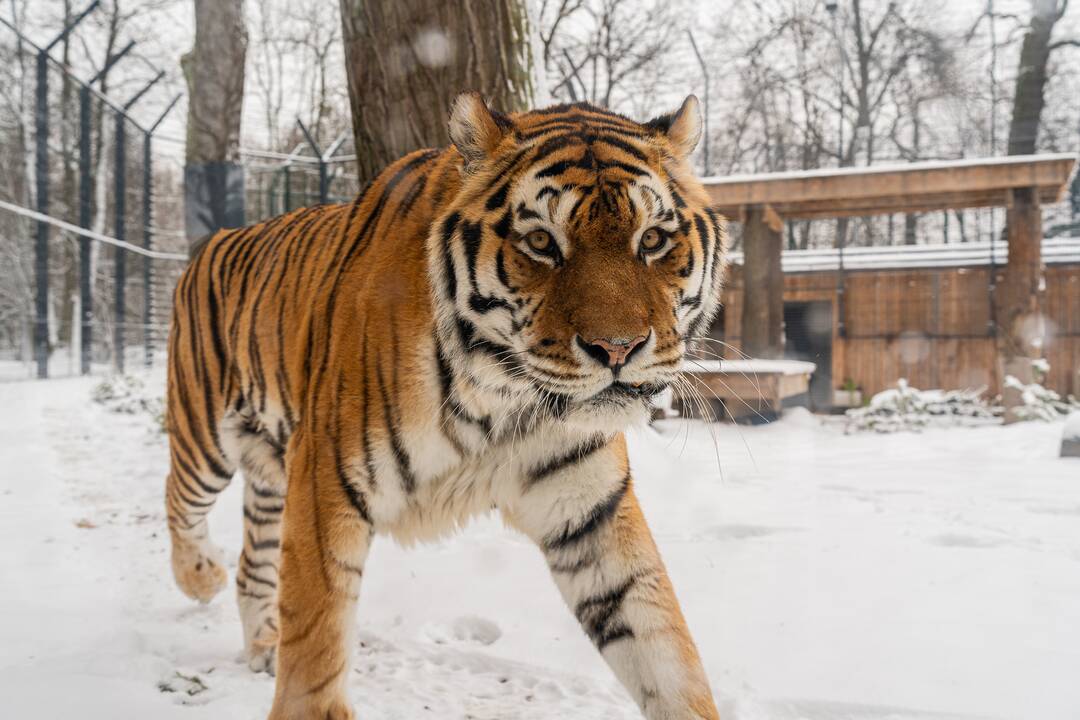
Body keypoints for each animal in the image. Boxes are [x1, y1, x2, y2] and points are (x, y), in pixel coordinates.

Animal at [166, 94, 725, 720]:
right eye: (541, 243)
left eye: (652, 240)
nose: (619, 348)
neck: (502, 396)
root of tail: (215, 239)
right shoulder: (325, 480)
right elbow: (316, 639)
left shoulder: (589, 511)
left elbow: (664, 651)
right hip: (204, 436)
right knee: (178, 501)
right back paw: (201, 578)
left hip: (269, 469)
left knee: (253, 563)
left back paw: (263, 643)